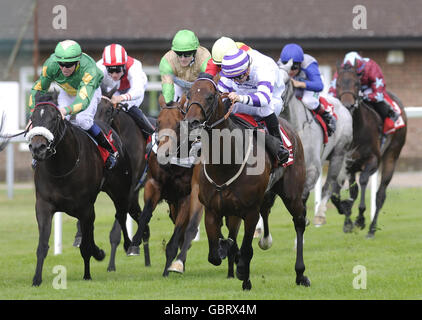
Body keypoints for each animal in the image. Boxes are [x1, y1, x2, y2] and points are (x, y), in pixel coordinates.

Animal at [27, 92, 123, 284]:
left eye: (55, 118)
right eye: (32, 118)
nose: (38, 148)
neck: (62, 167)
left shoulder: (85, 207)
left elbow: (86, 246)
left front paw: (88, 273)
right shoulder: (43, 204)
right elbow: (42, 244)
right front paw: (36, 279)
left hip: (119, 191)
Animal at [126, 94, 204, 276]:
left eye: (178, 123)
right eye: (159, 122)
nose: (164, 153)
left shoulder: (186, 196)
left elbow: (177, 233)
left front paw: (169, 268)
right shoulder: (153, 185)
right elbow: (145, 214)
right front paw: (134, 243)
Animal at [185, 76, 310, 292]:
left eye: (210, 96)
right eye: (189, 94)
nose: (192, 121)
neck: (225, 164)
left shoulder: (251, 211)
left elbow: (246, 249)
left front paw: (244, 274)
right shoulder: (212, 210)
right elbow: (215, 254)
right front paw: (226, 249)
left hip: (292, 194)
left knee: (299, 222)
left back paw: (300, 274)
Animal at [334, 63, 408, 238]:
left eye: (357, 84)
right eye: (338, 84)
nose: (347, 105)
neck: (356, 130)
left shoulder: (372, 161)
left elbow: (363, 181)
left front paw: (360, 219)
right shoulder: (347, 163)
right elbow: (347, 192)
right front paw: (347, 220)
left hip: (392, 155)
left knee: (380, 195)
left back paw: (372, 229)